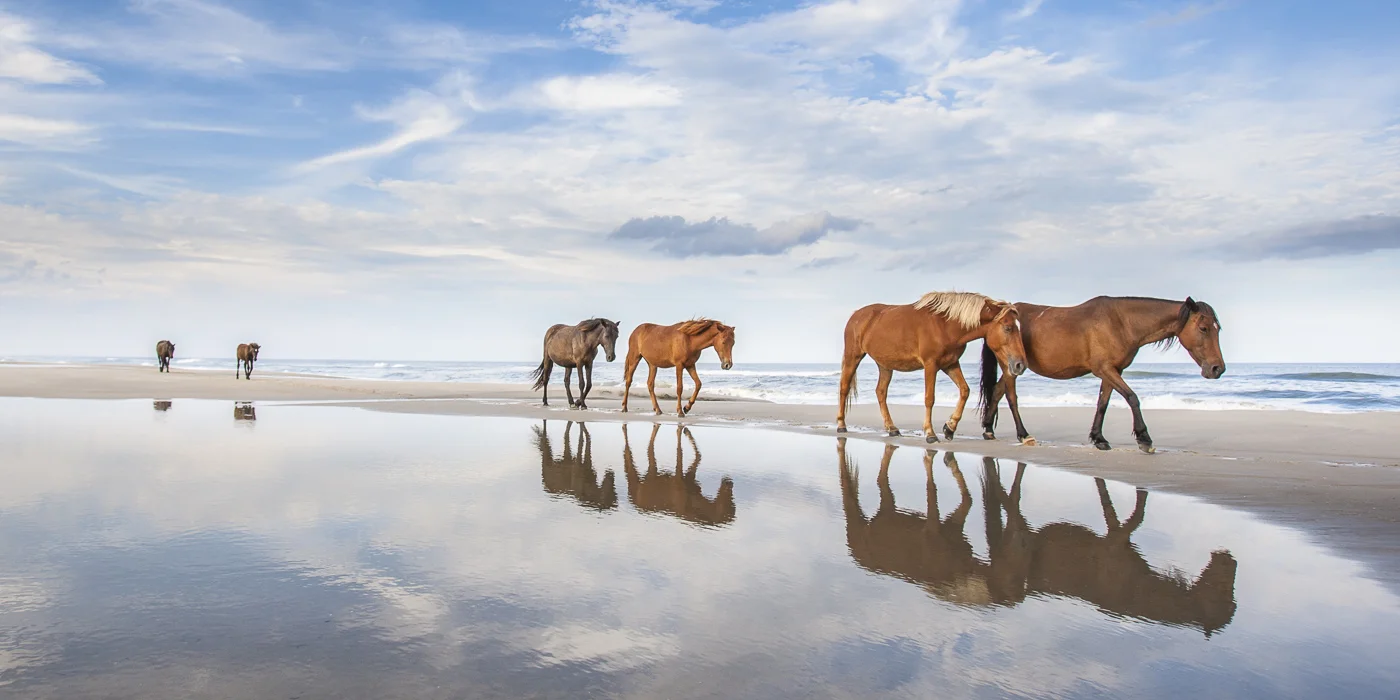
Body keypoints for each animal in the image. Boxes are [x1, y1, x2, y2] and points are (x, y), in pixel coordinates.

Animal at [836, 291, 1027, 442]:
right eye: (1008, 328)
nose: (1020, 365)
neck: (945, 324)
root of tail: (856, 315)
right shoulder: (931, 365)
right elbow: (929, 398)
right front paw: (930, 433)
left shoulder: (950, 364)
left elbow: (964, 391)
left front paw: (949, 428)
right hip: (853, 357)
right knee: (844, 388)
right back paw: (841, 425)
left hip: (884, 365)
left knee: (881, 392)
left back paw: (892, 428)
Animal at [979, 296, 1226, 453]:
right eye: (1203, 328)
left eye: (1217, 329)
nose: (1218, 369)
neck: (1121, 322)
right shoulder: (1105, 369)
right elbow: (1132, 398)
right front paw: (1144, 439)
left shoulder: (1112, 371)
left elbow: (1103, 403)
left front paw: (1099, 439)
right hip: (1011, 366)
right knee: (1010, 396)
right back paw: (1022, 434)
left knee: (997, 391)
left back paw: (988, 429)